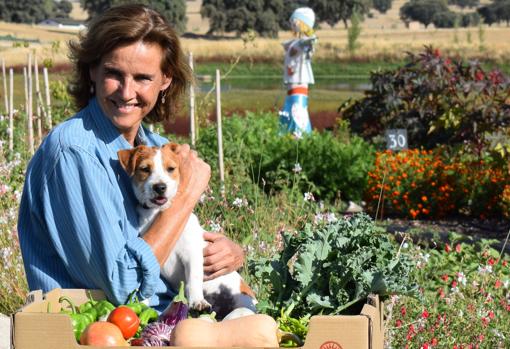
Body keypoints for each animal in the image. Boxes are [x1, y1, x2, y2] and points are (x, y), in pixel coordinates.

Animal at [117, 142, 256, 318]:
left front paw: (197, 301)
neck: (156, 212)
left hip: (242, 307)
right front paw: (140, 304)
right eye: (145, 169)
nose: (160, 187)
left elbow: (193, 279)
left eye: (171, 168)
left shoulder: (192, 253)